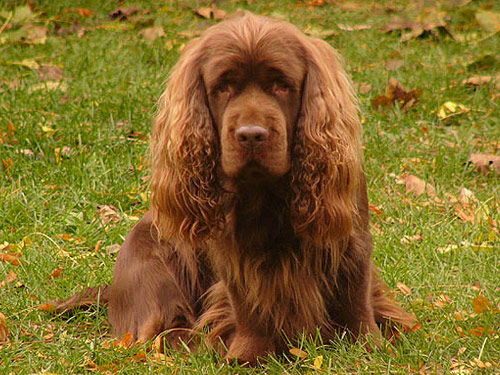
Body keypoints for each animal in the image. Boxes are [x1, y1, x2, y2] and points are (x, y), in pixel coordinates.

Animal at [55, 13, 414, 366]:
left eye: (281, 85)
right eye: (223, 87)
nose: (251, 134)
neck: (268, 193)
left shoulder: (349, 240)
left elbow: (355, 298)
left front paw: (366, 347)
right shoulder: (235, 257)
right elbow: (246, 304)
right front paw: (246, 355)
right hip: (154, 269)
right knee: (159, 334)